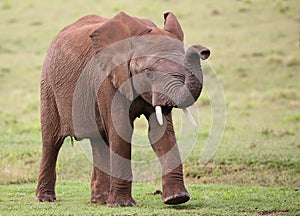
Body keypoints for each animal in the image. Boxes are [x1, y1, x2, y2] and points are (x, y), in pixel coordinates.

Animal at [36, 11, 210, 207]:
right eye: (148, 74)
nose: (204, 51)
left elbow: (160, 132)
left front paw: (177, 199)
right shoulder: (107, 79)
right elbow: (122, 129)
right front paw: (122, 204)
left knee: (99, 139)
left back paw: (101, 200)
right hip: (48, 84)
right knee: (51, 141)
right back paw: (46, 198)